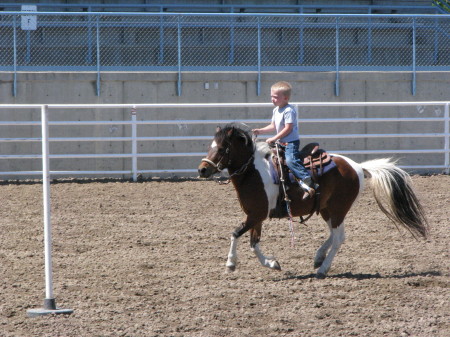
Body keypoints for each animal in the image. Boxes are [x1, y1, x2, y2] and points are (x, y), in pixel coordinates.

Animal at [198, 124, 428, 276]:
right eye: (210, 145)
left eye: (221, 148)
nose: (202, 169)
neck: (254, 173)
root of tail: (357, 166)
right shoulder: (256, 216)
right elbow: (254, 243)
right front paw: (272, 264)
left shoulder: (256, 215)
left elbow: (236, 233)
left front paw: (230, 263)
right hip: (327, 209)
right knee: (334, 235)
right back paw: (318, 258)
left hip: (339, 209)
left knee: (338, 237)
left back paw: (323, 268)